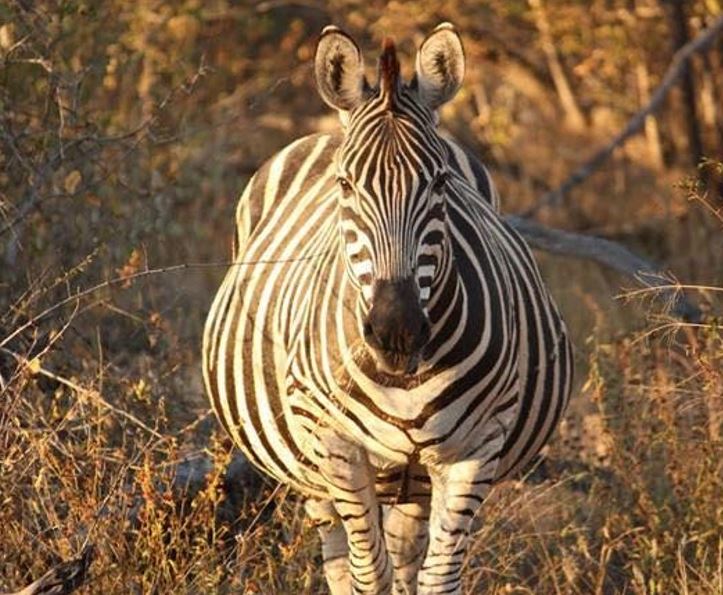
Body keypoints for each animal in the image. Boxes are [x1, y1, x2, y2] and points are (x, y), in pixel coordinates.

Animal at [203, 23, 573, 594]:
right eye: (345, 185)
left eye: (441, 182)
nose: (396, 329)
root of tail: (326, 128)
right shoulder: (336, 446)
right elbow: (366, 574)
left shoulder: (476, 449)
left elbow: (436, 577)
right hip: (309, 467)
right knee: (338, 556)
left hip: (414, 478)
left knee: (404, 552)